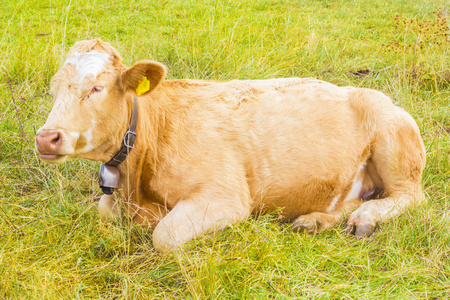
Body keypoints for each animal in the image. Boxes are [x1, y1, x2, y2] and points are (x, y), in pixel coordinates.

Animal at [35, 39, 426, 251]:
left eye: (96, 88)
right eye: (53, 88)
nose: (46, 137)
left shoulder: (224, 197)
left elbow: (164, 234)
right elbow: (103, 212)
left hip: (395, 144)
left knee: (409, 197)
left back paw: (365, 219)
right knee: (357, 200)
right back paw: (315, 220)